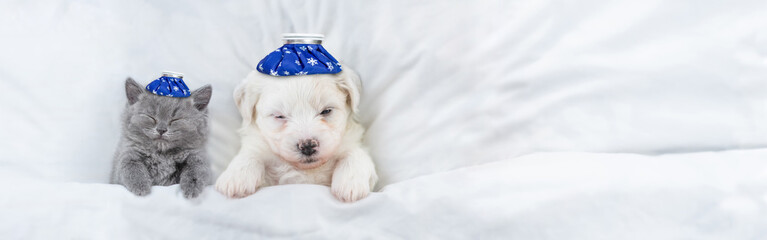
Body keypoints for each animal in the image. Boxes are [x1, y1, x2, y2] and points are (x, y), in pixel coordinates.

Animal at [216, 64, 378, 202]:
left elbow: (356, 154)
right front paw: (236, 178)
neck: (306, 169)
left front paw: (350, 184)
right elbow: (250, 154)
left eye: (326, 111)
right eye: (279, 116)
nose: (308, 146)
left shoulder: (351, 141)